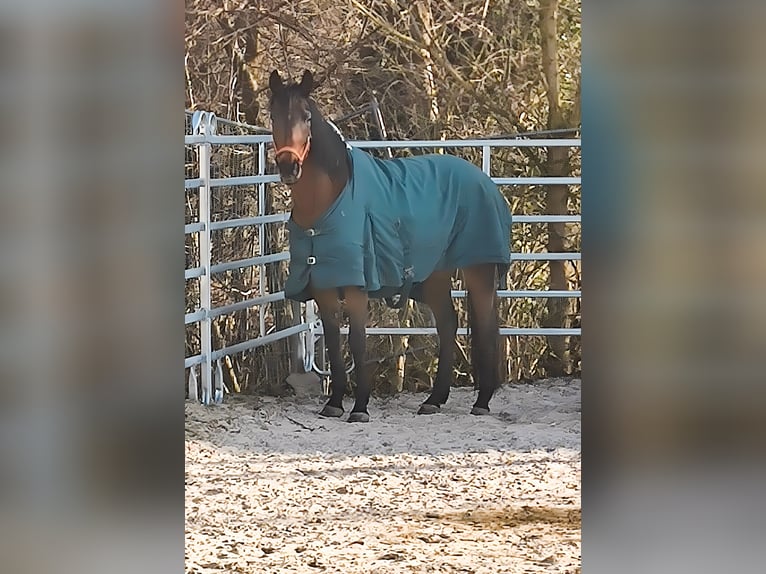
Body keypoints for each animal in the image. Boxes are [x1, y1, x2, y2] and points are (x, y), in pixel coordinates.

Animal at [268, 70, 512, 423]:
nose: (289, 167)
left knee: (487, 327)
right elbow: (333, 343)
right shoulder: (324, 286)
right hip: (435, 274)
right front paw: (334, 403)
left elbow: (357, 343)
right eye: (273, 116)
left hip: (479, 269)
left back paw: (481, 401)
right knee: (448, 324)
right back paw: (434, 399)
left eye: (306, 117)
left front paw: (360, 408)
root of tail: (485, 182)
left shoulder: (356, 287)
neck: (330, 203)